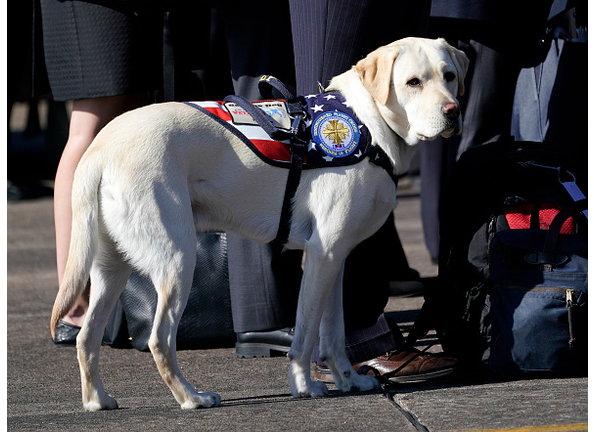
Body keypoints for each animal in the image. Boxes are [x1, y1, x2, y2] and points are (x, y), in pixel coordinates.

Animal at [51, 38, 468, 412]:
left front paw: (349, 381)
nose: (453, 111)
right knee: (159, 340)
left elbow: (333, 334)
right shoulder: (321, 254)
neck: (367, 123)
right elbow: (305, 334)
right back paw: (191, 398)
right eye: (413, 82)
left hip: (111, 269)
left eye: (449, 76)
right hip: (177, 261)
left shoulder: (335, 258)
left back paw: (97, 401)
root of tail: (100, 146)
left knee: (86, 339)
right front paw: (305, 386)